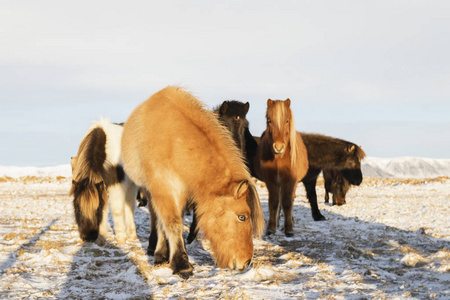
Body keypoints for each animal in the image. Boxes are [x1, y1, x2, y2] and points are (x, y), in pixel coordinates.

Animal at [121, 86, 266, 278]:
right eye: (242, 217)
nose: (247, 262)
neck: (174, 141)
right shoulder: (163, 188)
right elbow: (171, 222)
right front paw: (181, 264)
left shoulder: (180, 192)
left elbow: (175, 220)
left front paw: (170, 256)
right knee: (155, 216)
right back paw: (155, 250)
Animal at [253, 98, 310, 237]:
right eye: (269, 121)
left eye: (287, 121)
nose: (278, 147)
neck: (279, 158)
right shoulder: (271, 181)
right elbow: (274, 202)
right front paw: (271, 228)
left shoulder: (289, 181)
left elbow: (288, 203)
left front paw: (289, 228)